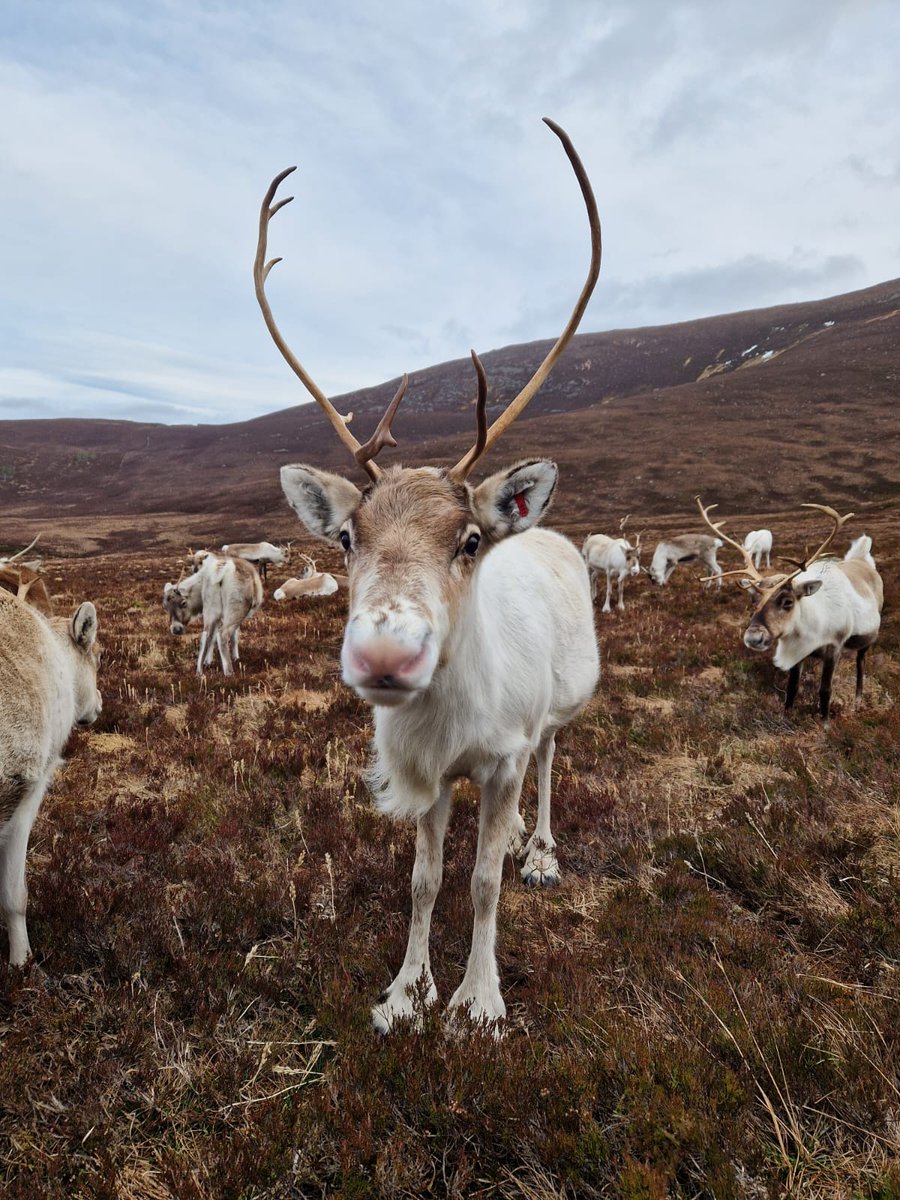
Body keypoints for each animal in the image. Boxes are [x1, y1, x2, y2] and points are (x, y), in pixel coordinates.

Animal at [256, 117, 601, 1032]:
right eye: (346, 536)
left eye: (471, 539)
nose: (384, 655)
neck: (448, 722)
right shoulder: (429, 777)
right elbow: (424, 880)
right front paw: (406, 993)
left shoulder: (499, 760)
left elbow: (481, 883)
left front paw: (479, 1000)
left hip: (556, 714)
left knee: (550, 765)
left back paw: (541, 851)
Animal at [697, 499, 883, 721]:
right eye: (753, 599)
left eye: (787, 601)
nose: (753, 638)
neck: (809, 628)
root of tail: (862, 559)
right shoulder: (798, 653)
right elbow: (792, 687)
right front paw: (786, 717)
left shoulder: (834, 648)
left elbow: (825, 690)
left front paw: (825, 722)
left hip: (867, 640)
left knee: (860, 664)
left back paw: (858, 701)